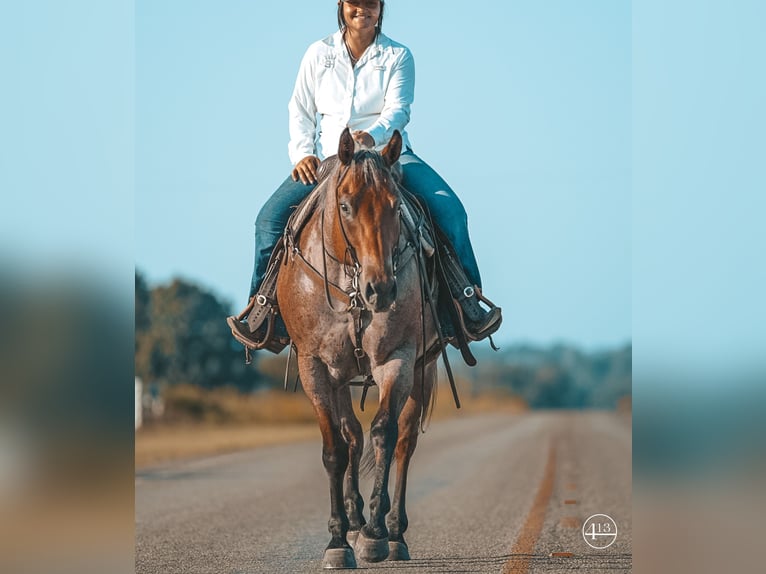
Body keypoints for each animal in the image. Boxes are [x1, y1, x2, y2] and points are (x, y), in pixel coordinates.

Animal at [280, 128, 440, 568]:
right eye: (346, 205)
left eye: (395, 205)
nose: (380, 289)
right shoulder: (315, 367)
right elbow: (335, 448)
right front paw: (338, 539)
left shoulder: (397, 359)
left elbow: (385, 434)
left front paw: (374, 534)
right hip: (340, 376)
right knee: (351, 434)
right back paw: (354, 518)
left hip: (424, 368)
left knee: (405, 441)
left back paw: (393, 530)